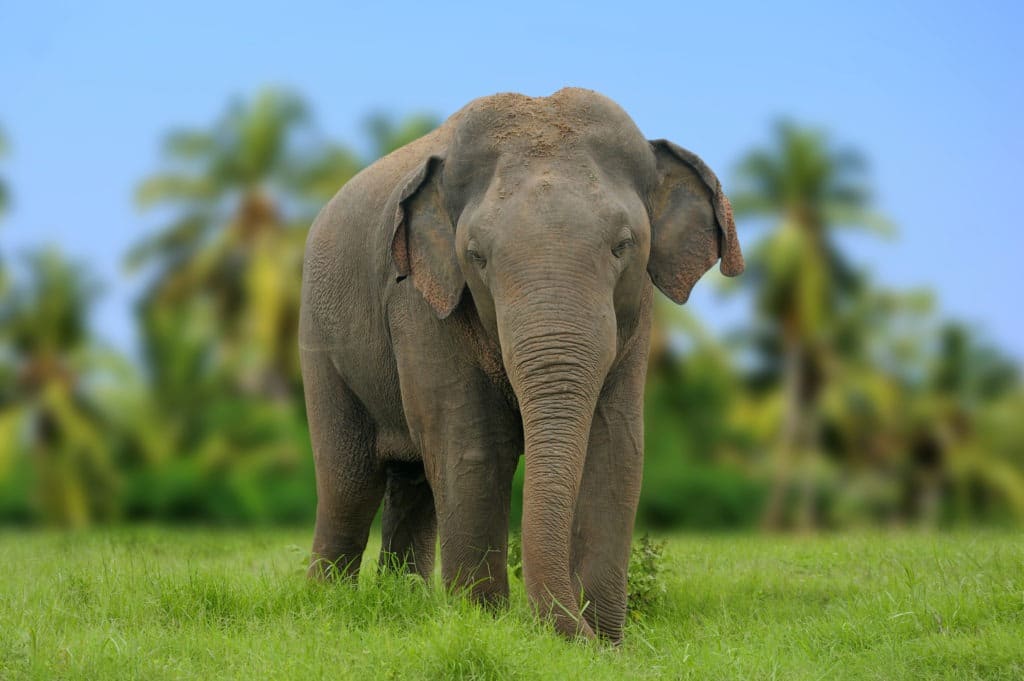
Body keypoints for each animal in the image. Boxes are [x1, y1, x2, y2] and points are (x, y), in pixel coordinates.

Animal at [299, 87, 745, 639]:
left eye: (623, 246)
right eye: (477, 256)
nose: (578, 631)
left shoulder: (636, 315)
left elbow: (617, 447)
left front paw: (606, 643)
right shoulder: (420, 304)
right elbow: (473, 448)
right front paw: (485, 625)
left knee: (412, 483)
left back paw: (404, 600)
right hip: (319, 337)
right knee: (350, 482)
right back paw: (328, 605)